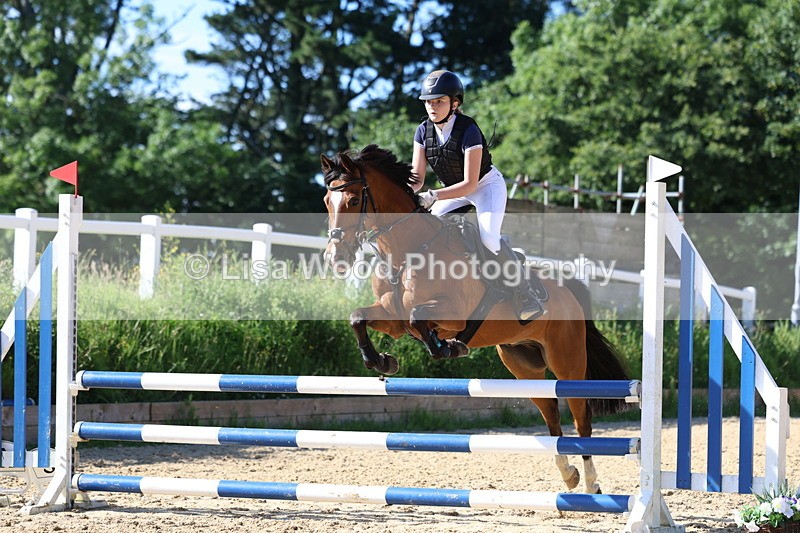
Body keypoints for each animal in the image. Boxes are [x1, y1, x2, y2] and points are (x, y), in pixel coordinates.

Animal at [321, 144, 630, 495]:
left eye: (353, 200)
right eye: (326, 200)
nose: (335, 258)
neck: (407, 251)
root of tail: (568, 292)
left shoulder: (451, 315)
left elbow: (418, 317)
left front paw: (448, 348)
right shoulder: (392, 319)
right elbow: (359, 318)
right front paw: (382, 361)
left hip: (567, 362)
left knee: (582, 419)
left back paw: (591, 483)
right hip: (523, 365)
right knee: (551, 415)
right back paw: (569, 475)